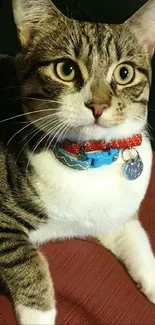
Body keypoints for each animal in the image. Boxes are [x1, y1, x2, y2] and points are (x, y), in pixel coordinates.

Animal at [0, 0, 155, 322]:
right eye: (66, 69)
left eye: (124, 73)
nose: (98, 105)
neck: (89, 158)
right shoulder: (3, 223)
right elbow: (27, 262)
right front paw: (39, 316)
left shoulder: (115, 214)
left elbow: (135, 238)